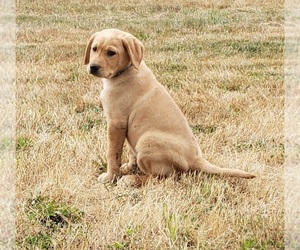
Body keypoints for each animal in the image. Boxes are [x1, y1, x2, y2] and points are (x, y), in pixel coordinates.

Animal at [84, 28, 255, 186]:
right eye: (94, 48)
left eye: (111, 53)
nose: (93, 67)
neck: (128, 70)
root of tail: (195, 159)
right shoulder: (125, 127)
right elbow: (130, 151)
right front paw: (128, 167)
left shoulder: (116, 123)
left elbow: (112, 153)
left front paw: (110, 176)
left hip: (147, 141)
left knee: (162, 177)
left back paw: (132, 179)